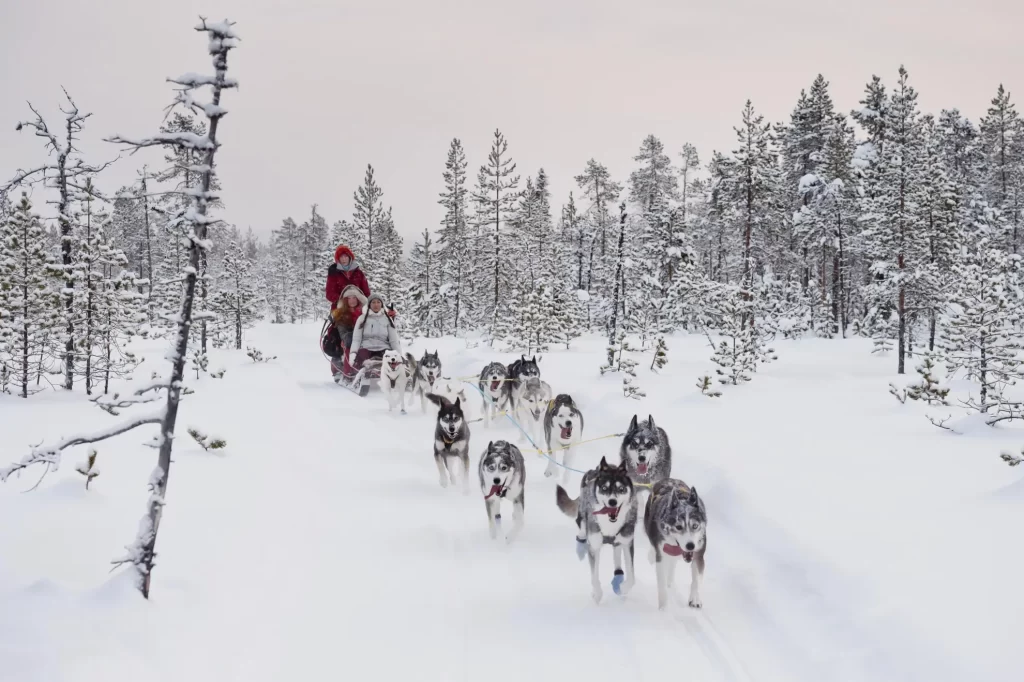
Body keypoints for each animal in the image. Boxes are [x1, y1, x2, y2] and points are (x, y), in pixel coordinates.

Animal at [557, 456, 634, 602]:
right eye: (604, 488)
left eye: (621, 489)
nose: (612, 502)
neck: (610, 525)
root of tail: (595, 470)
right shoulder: (595, 545)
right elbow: (594, 576)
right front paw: (597, 594)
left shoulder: (627, 542)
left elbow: (632, 575)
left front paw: (624, 588)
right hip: (582, 515)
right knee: (581, 528)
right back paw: (580, 547)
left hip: (619, 541)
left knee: (617, 553)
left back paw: (618, 577)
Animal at [643, 475, 708, 606]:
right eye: (678, 527)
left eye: (695, 526)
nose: (690, 546)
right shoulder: (661, 555)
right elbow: (661, 583)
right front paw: (663, 607)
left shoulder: (698, 555)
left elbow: (696, 580)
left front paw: (695, 598)